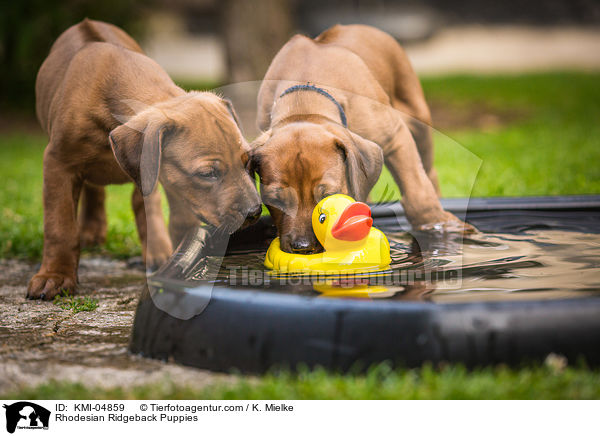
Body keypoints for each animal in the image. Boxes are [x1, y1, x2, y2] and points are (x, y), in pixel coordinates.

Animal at [28, 20, 260, 300]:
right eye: (208, 174)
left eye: (247, 163)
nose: (255, 212)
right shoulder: (58, 163)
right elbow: (60, 227)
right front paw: (55, 276)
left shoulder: (167, 178)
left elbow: (176, 219)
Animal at [253, 23, 474, 254]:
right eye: (275, 200)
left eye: (326, 196)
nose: (302, 247)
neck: (303, 101)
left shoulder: (396, 137)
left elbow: (417, 190)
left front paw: (436, 223)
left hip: (418, 118)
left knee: (428, 172)